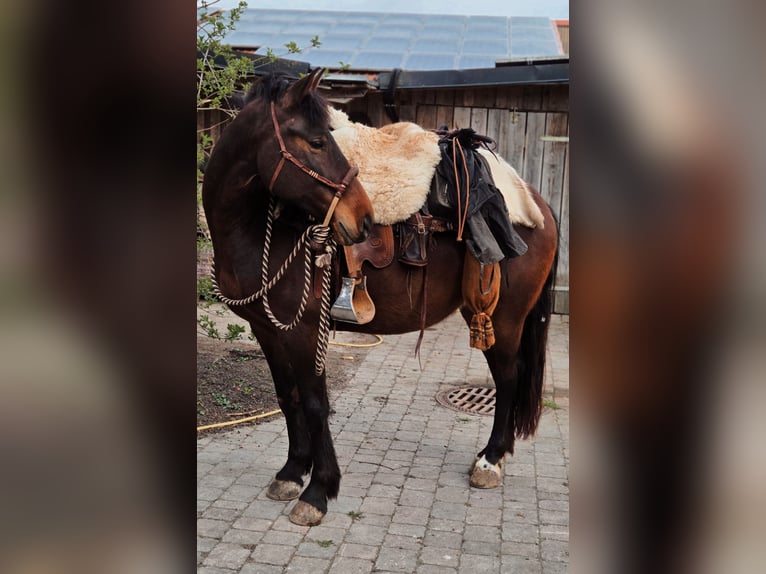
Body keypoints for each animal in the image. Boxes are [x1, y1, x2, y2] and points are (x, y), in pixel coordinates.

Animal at [202, 68, 559, 526]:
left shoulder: (304, 332)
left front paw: (318, 491)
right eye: (316, 142)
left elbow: (315, 404)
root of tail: (536, 203)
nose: (365, 219)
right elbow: (288, 398)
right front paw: (292, 473)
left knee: (508, 379)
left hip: (505, 319)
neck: (257, 229)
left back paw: (490, 461)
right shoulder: (268, 330)